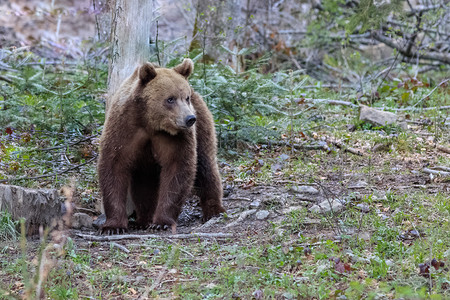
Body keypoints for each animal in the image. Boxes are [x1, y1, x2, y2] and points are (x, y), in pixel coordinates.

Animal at [98, 58, 225, 232]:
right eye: (170, 99)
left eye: (186, 98)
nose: (190, 118)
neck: (150, 123)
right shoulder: (124, 129)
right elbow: (114, 166)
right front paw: (113, 226)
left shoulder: (176, 138)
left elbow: (177, 168)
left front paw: (162, 222)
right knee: (144, 182)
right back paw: (143, 219)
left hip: (202, 125)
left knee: (205, 166)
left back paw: (214, 210)